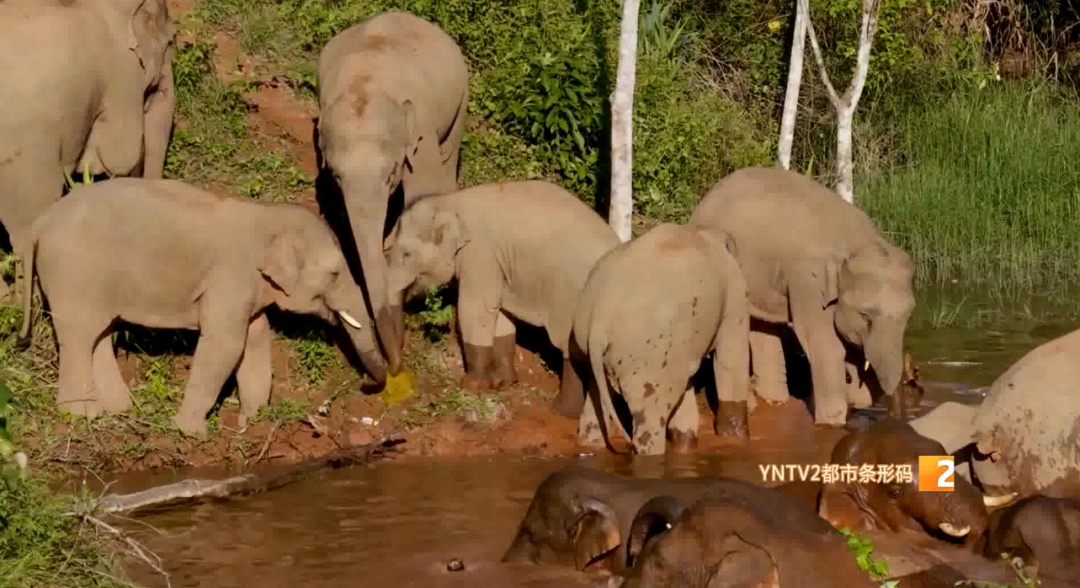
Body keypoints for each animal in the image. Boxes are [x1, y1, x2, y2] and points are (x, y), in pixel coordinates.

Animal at [17, 179, 385, 436]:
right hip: (73, 272)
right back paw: (81, 414)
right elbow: (225, 344)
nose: (366, 383)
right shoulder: (230, 275)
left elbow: (255, 337)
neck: (267, 215)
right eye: (335, 274)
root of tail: (39, 223)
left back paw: (118, 410)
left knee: (99, 334)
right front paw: (191, 432)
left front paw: (252, 422)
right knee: (80, 336)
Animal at [316, 11, 468, 377]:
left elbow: (424, 188)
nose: (394, 367)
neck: (366, 82)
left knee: (450, 154)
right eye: (337, 176)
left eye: (390, 176)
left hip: (461, 100)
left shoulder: (422, 127)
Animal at [382, 180, 620, 399]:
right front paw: (503, 383)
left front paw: (472, 387)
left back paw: (560, 410)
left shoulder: (480, 252)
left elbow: (475, 308)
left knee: (569, 346)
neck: (450, 201)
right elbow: (501, 312)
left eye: (407, 254)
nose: (395, 374)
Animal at [570, 223, 752, 455]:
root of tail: (599, 319)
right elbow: (730, 358)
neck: (708, 234)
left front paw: (685, 445)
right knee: (650, 417)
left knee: (596, 395)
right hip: (647, 354)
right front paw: (736, 441)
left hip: (592, 345)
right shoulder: (735, 295)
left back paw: (591, 445)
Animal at [688, 167, 916, 427]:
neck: (855, 241)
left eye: (909, 315)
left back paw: (775, 401)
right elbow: (825, 345)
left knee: (763, 326)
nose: (898, 420)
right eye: (865, 316)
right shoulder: (807, 281)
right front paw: (831, 424)